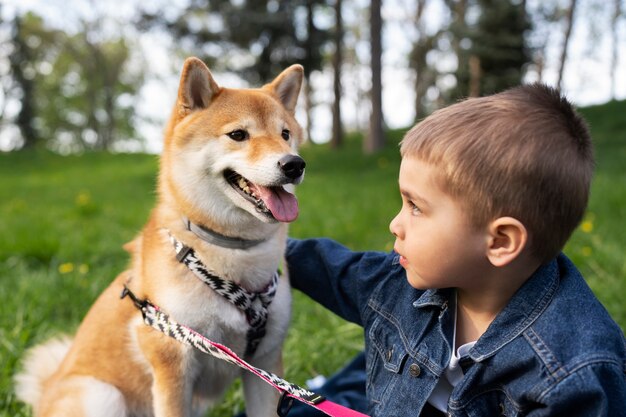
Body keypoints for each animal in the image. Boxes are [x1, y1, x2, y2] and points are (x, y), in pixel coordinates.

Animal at [14, 56, 304, 416]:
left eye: (285, 134)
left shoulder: (265, 361)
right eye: (238, 134)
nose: (294, 164)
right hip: (103, 396)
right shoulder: (172, 362)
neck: (234, 253)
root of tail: (45, 395)